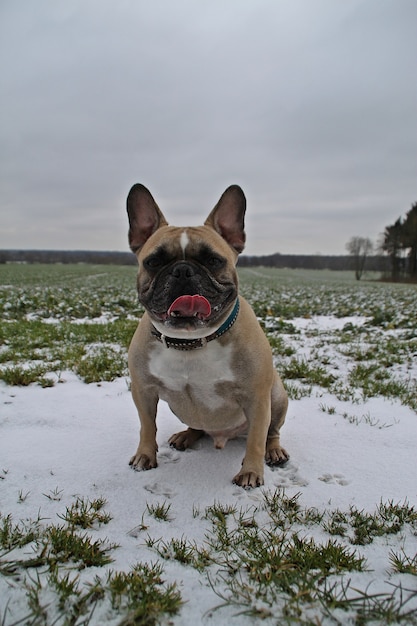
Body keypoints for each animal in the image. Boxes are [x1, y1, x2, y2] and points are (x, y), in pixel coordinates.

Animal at [127, 183, 288, 486]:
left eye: (213, 260)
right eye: (154, 261)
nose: (182, 270)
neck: (190, 342)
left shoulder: (257, 398)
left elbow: (256, 439)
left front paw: (251, 472)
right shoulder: (143, 391)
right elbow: (146, 426)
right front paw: (145, 455)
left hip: (277, 396)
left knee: (271, 432)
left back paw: (274, 451)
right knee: (197, 425)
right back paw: (185, 436)